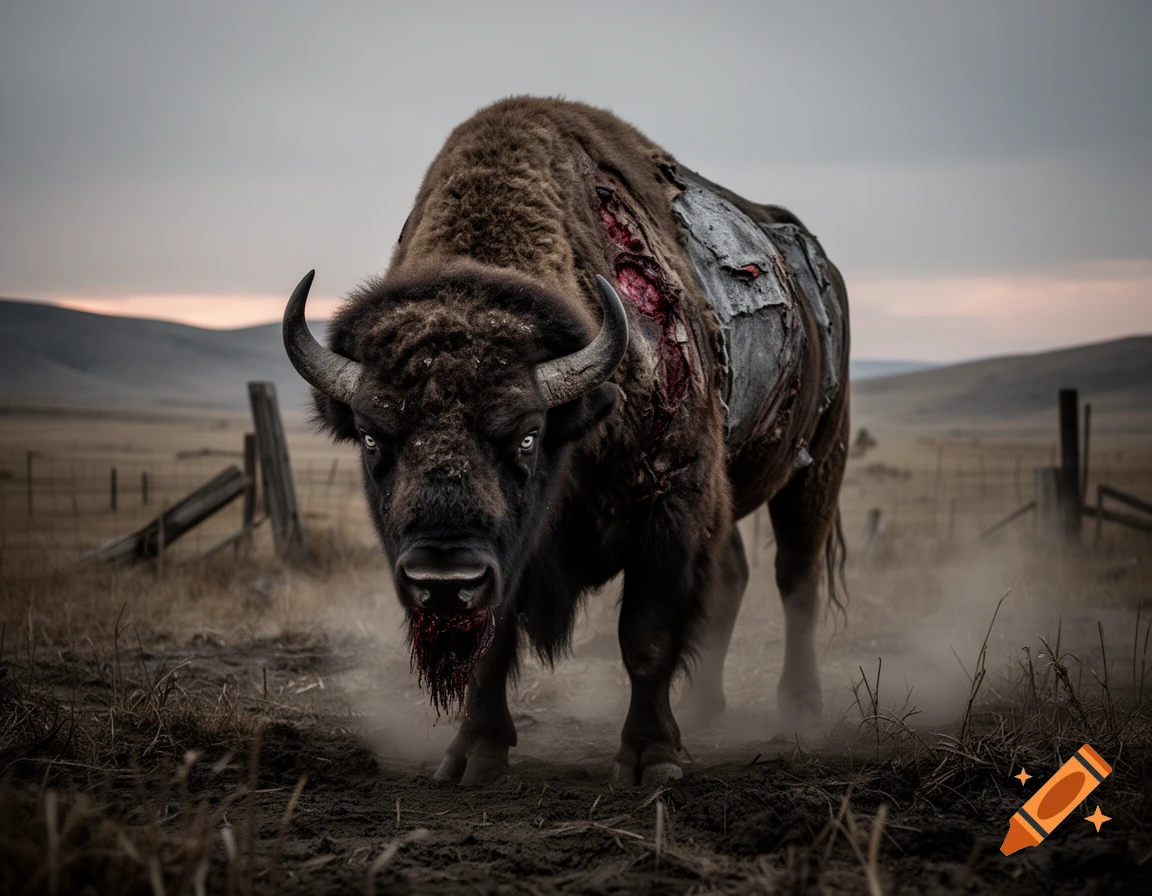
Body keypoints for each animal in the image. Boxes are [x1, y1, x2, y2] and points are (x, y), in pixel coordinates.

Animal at [284, 97, 849, 786]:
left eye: (528, 436)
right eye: (370, 438)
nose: (443, 578)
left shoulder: (673, 504)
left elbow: (646, 636)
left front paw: (651, 758)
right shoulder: (514, 561)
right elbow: (494, 644)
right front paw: (473, 756)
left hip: (817, 463)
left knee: (796, 576)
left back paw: (799, 708)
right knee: (736, 576)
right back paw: (704, 708)